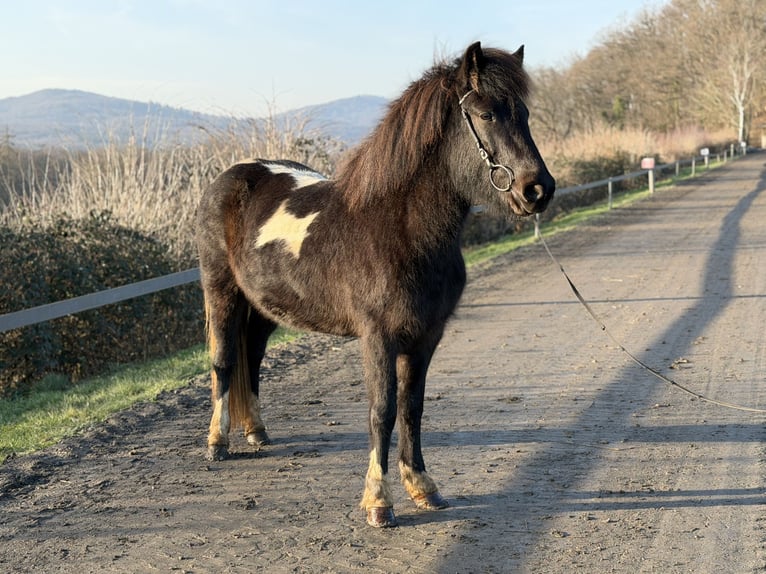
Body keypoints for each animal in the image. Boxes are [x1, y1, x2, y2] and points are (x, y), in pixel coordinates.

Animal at [195, 41, 555, 528]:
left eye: (525, 113)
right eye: (486, 114)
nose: (538, 190)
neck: (397, 228)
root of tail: (231, 175)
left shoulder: (425, 337)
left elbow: (412, 408)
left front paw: (423, 487)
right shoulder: (378, 338)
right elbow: (381, 412)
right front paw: (378, 502)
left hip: (266, 307)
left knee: (251, 356)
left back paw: (256, 432)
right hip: (222, 291)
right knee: (224, 361)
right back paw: (218, 443)